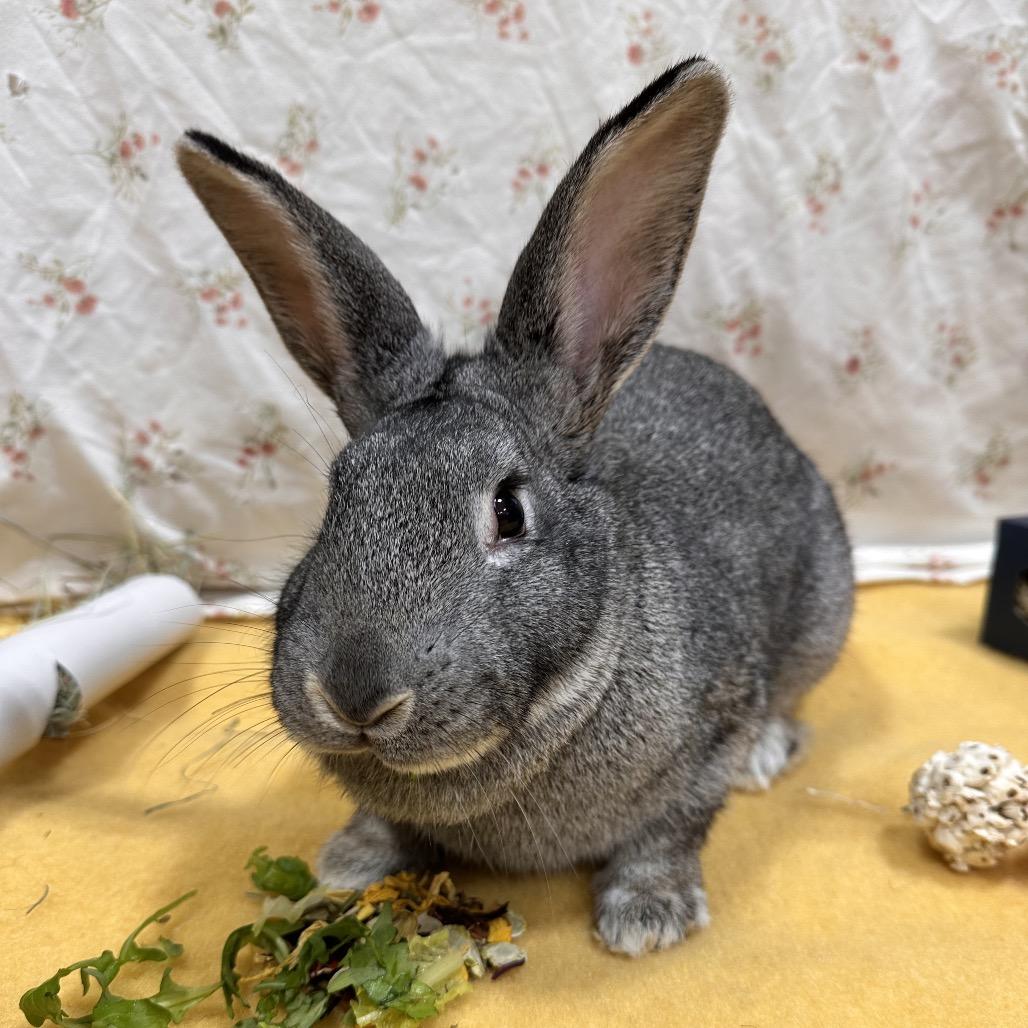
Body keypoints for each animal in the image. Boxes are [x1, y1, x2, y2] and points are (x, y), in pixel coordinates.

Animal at [176, 57, 853, 956]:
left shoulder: (709, 731)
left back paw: (767, 755)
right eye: (337, 495)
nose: (354, 698)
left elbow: (672, 829)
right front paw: (350, 861)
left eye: (508, 511)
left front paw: (647, 916)